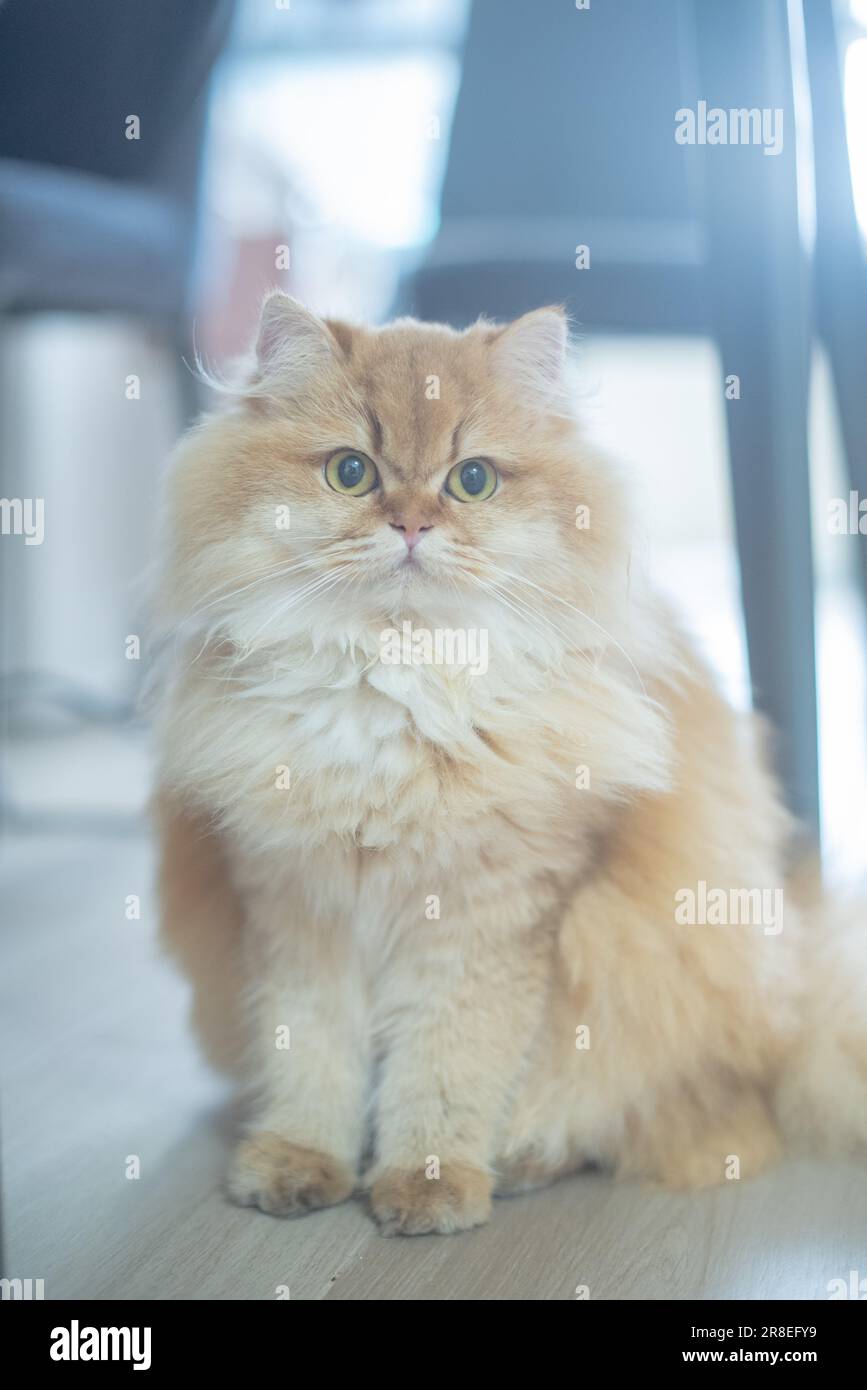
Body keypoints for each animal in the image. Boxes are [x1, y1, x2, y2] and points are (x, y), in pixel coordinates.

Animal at [155, 293, 867, 1239]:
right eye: (350, 472)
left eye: (471, 481)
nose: (411, 524)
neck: (396, 690)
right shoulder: (296, 910)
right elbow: (311, 1057)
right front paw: (299, 1164)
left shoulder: (489, 918)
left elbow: (446, 1064)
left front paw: (428, 1184)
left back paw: (525, 1160)